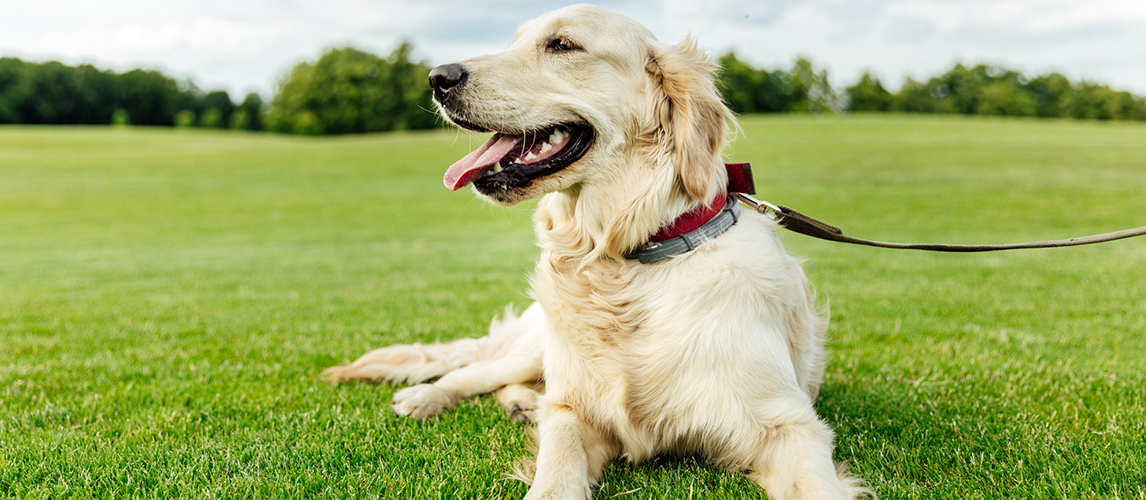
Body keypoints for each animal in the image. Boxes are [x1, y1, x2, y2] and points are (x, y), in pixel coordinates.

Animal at [327, 3, 870, 499]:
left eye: (562, 45)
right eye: (514, 41)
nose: (437, 77)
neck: (622, 259)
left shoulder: (789, 423)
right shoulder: (575, 412)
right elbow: (555, 464)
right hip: (539, 343)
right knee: (477, 371)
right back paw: (427, 397)